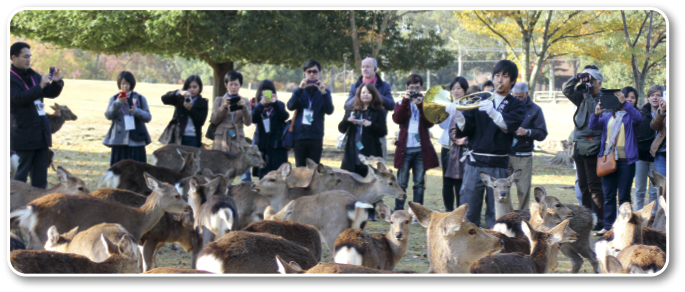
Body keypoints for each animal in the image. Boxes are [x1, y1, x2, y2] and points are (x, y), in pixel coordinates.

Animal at [10, 172, 191, 250]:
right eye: (176, 195)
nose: (189, 207)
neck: (139, 220)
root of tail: (31, 208)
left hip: (33, 235)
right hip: (45, 233)